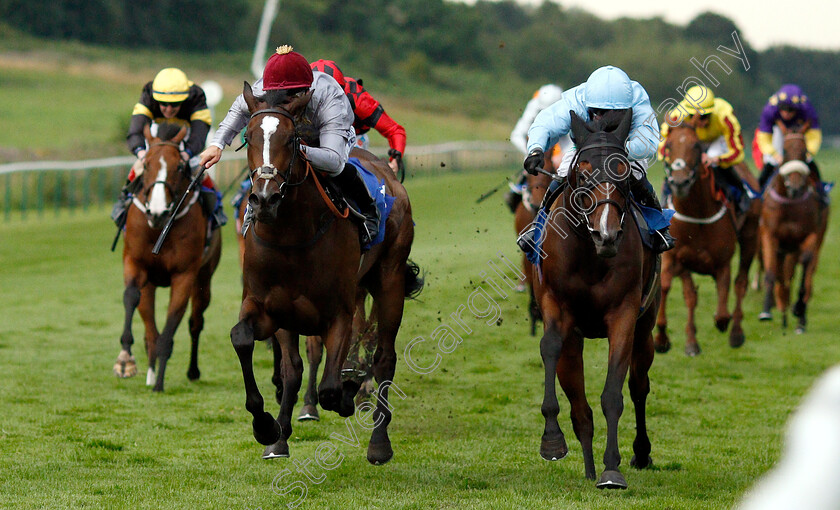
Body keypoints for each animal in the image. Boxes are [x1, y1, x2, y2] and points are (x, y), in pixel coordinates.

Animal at [113, 122, 223, 390]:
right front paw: (125, 361)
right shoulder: (135, 263)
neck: (160, 228)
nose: (157, 212)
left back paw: (192, 371)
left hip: (205, 276)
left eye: (179, 167)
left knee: (195, 322)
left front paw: (160, 382)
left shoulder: (184, 275)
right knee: (150, 326)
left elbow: (172, 321)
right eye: (146, 165)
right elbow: (131, 297)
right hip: (151, 282)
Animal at [228, 83, 420, 462]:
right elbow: (258, 348)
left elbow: (332, 384)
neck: (291, 236)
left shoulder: (338, 311)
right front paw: (270, 430)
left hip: (389, 280)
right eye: (249, 136)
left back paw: (378, 441)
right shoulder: (271, 307)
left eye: (291, 139)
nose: (264, 199)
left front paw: (347, 390)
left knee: (384, 356)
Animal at [536, 109, 660, 488]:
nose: (606, 234)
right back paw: (588, 466)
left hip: (646, 327)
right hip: (575, 339)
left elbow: (613, 395)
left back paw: (639, 453)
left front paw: (611, 469)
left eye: (623, 173)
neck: (591, 255)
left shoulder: (624, 315)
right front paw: (552, 441)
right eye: (583, 170)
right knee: (580, 406)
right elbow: (550, 348)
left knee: (638, 386)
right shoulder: (556, 306)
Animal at [656, 124, 760, 354]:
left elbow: (722, 309)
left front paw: (723, 322)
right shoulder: (676, 257)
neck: (697, 215)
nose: (680, 182)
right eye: (668, 145)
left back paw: (736, 333)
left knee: (741, 282)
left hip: (750, 237)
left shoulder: (722, 262)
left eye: (696, 145)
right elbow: (673, 289)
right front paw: (664, 339)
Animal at [756, 122, 828, 330]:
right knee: (782, 275)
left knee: (807, 272)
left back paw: (799, 317)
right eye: (785, 151)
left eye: (804, 151)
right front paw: (766, 311)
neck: (790, 202)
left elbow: (805, 266)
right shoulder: (769, 235)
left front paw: (798, 309)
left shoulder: (809, 235)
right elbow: (771, 271)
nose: (795, 187)